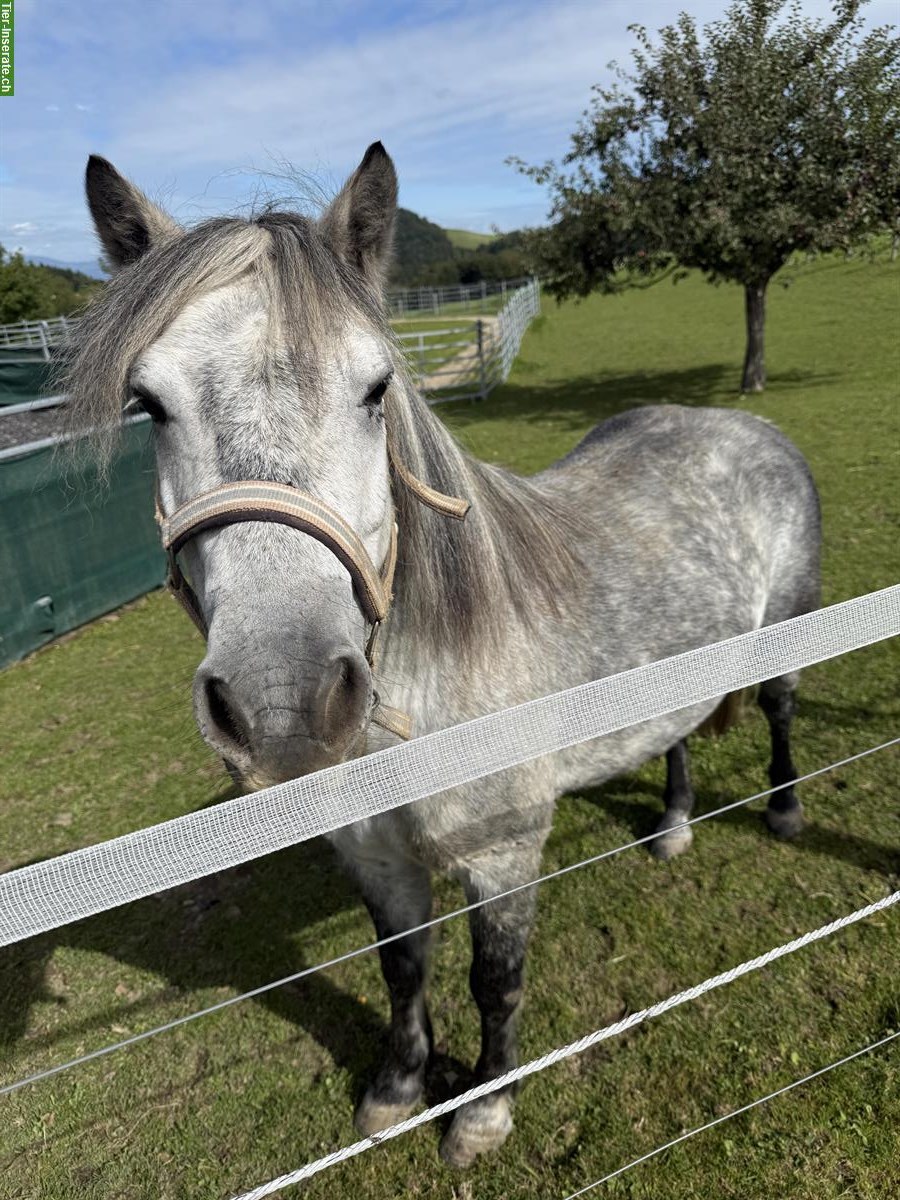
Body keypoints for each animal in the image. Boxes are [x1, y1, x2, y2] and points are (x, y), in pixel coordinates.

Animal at [66, 143, 821, 1167]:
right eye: (148, 405)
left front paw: (484, 1110)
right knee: (675, 730)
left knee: (778, 709)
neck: (426, 704)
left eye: (377, 389)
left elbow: (494, 983)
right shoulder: (378, 860)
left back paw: (782, 810)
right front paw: (397, 1088)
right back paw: (670, 826)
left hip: (786, 631)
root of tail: (747, 428)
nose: (281, 703)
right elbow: (401, 970)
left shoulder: (504, 856)